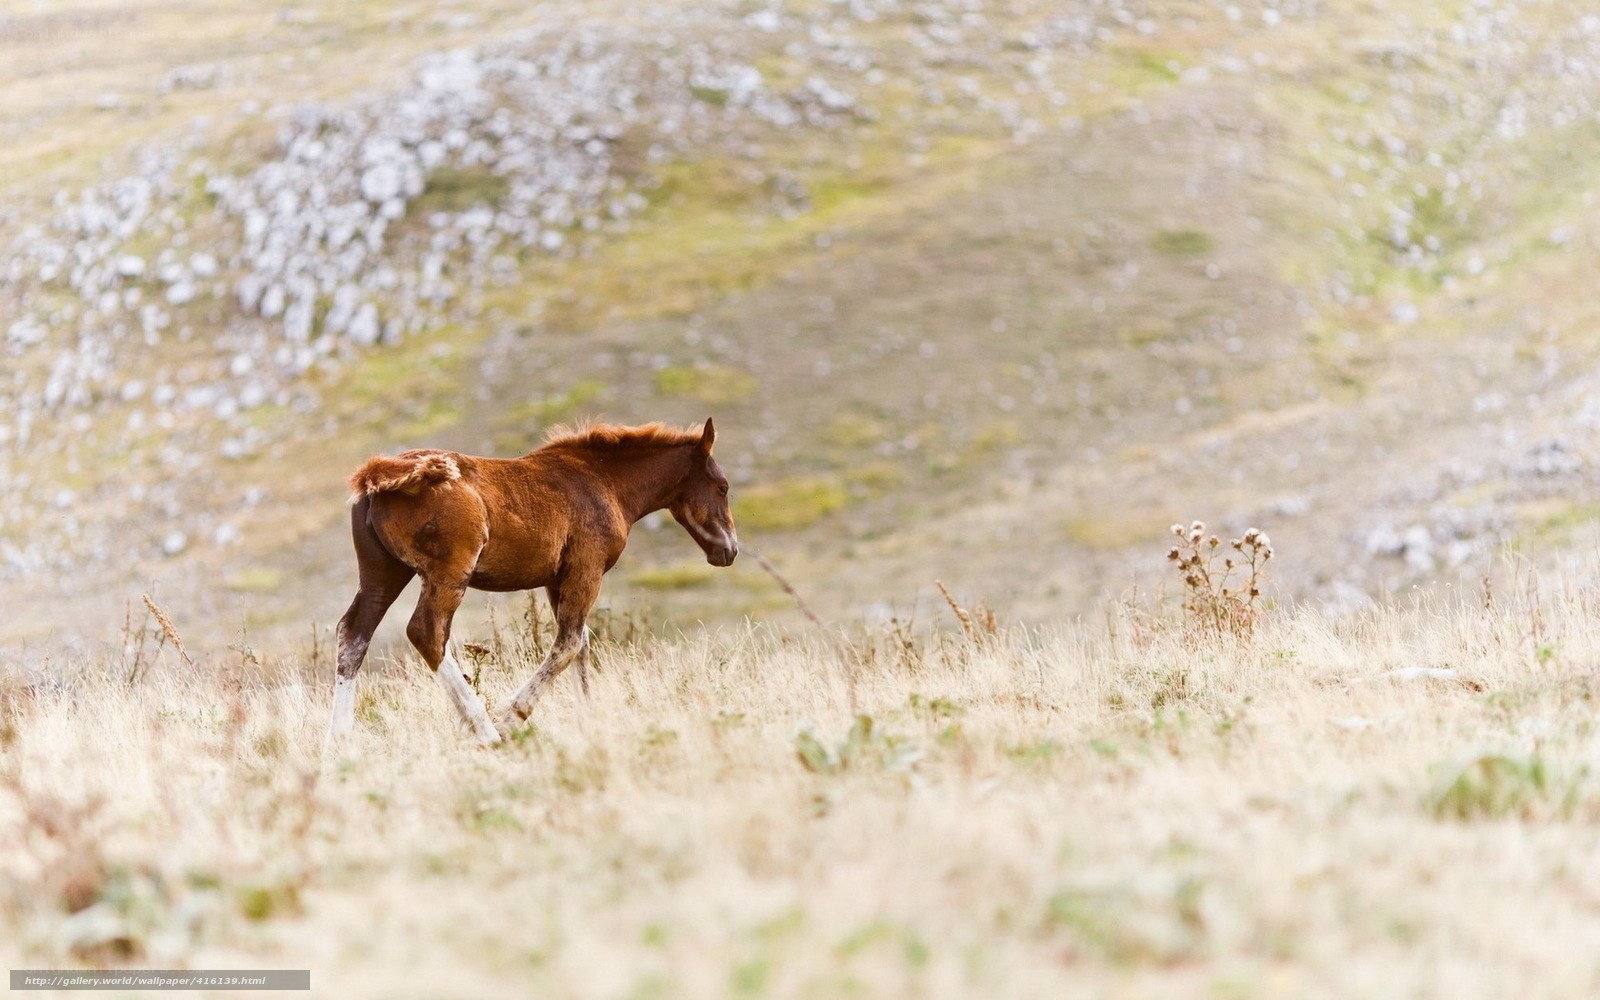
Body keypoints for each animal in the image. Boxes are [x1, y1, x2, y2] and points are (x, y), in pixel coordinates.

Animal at [326, 418, 739, 747]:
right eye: (723, 487)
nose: (730, 550)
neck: (602, 482)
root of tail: (381, 477)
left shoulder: (557, 580)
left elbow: (580, 643)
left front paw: (589, 718)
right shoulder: (586, 570)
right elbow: (568, 644)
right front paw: (511, 715)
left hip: (382, 574)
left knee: (354, 635)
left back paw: (339, 744)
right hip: (448, 572)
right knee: (427, 632)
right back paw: (486, 731)